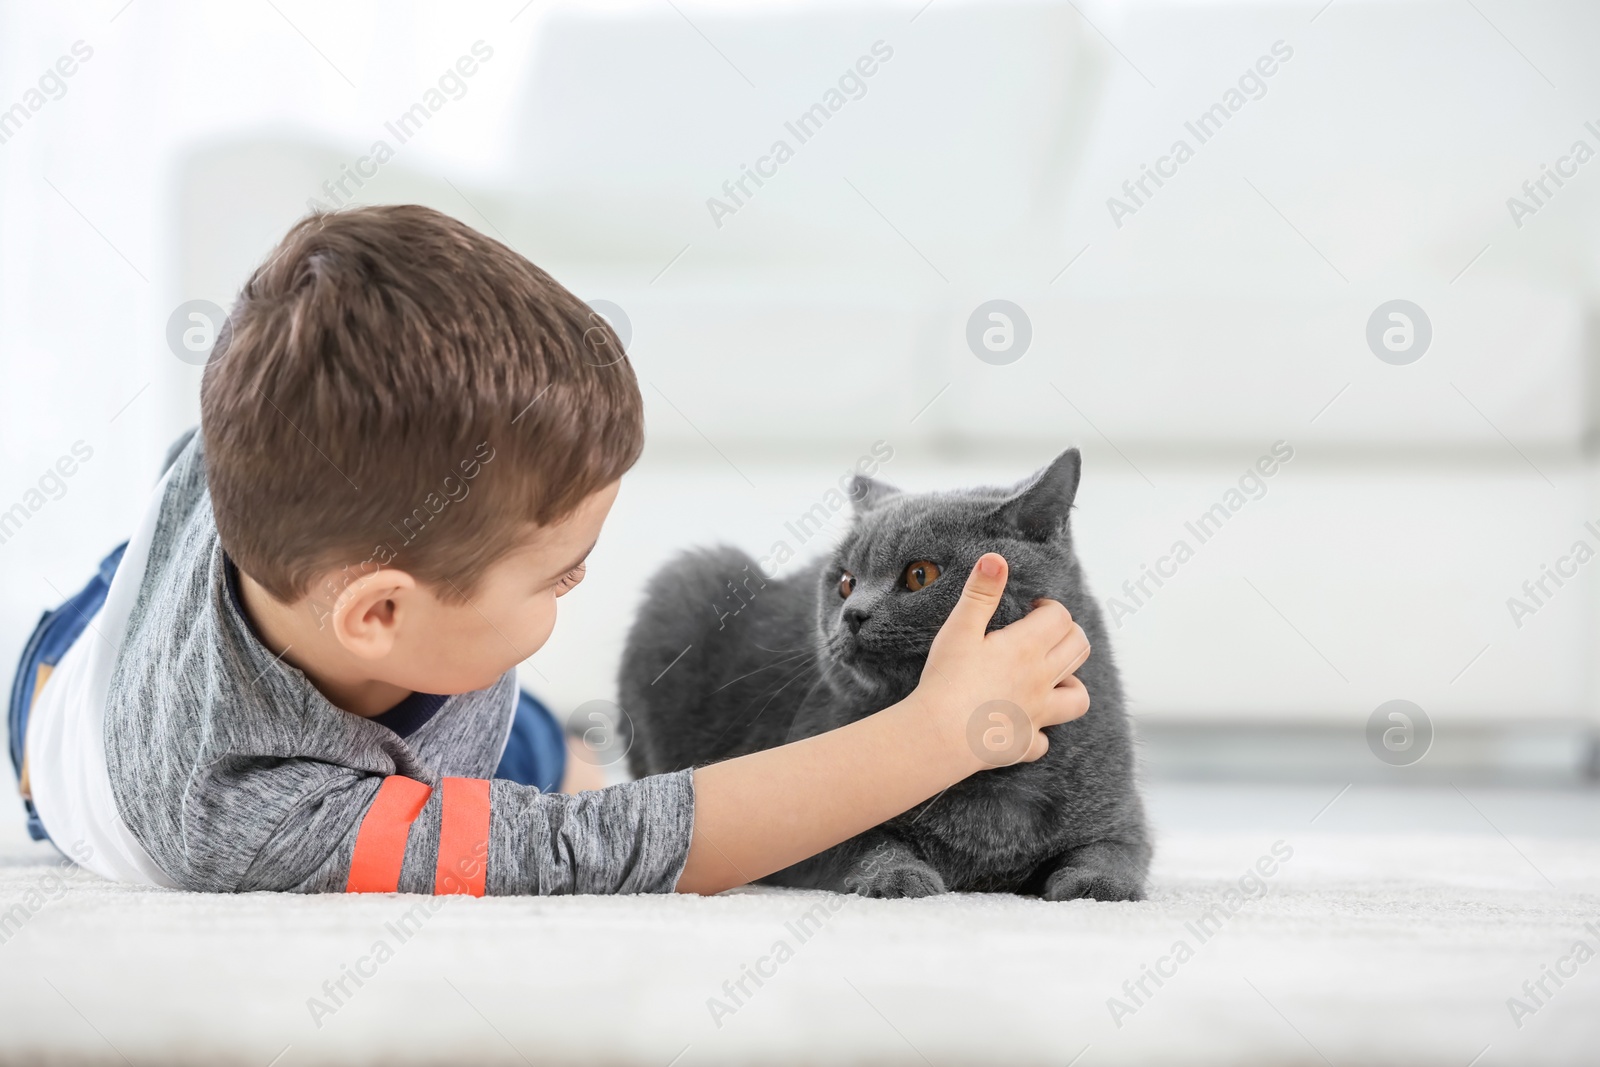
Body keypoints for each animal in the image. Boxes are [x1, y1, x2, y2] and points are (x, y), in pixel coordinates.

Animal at [614, 451, 1152, 902]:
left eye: (920, 574)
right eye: (846, 582)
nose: (853, 613)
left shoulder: (1123, 819)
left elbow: (1111, 852)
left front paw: (1097, 887)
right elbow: (870, 843)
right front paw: (899, 878)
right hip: (685, 581)